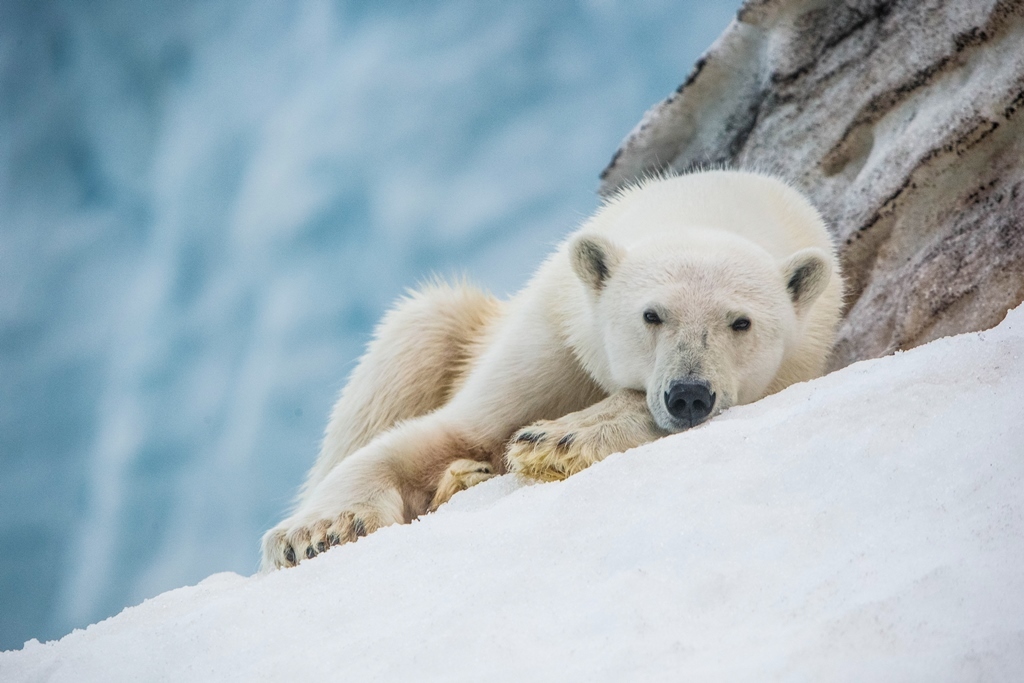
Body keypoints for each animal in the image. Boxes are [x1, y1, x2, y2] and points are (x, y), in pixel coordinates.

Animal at [260, 171, 843, 573]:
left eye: (740, 322)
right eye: (652, 314)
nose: (689, 394)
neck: (710, 207)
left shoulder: (796, 364)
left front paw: (557, 439)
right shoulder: (555, 334)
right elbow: (442, 433)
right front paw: (319, 530)